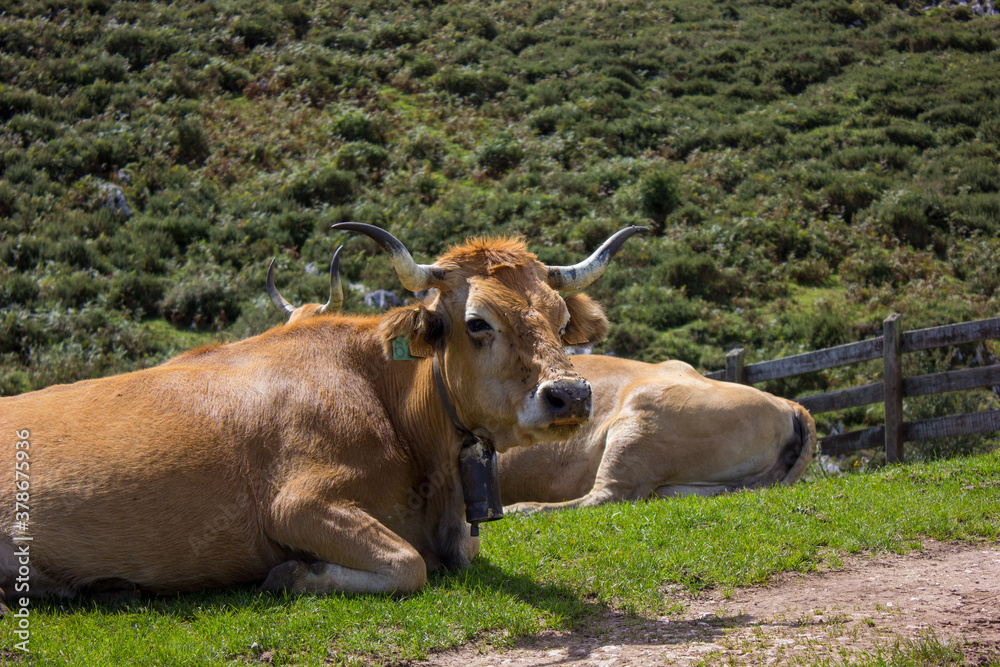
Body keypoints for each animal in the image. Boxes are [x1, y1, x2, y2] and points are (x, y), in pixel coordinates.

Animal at [0, 223, 644, 598]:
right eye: (477, 322)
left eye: (561, 318)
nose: (571, 395)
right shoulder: (296, 503)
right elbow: (408, 565)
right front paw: (294, 573)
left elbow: (461, 550)